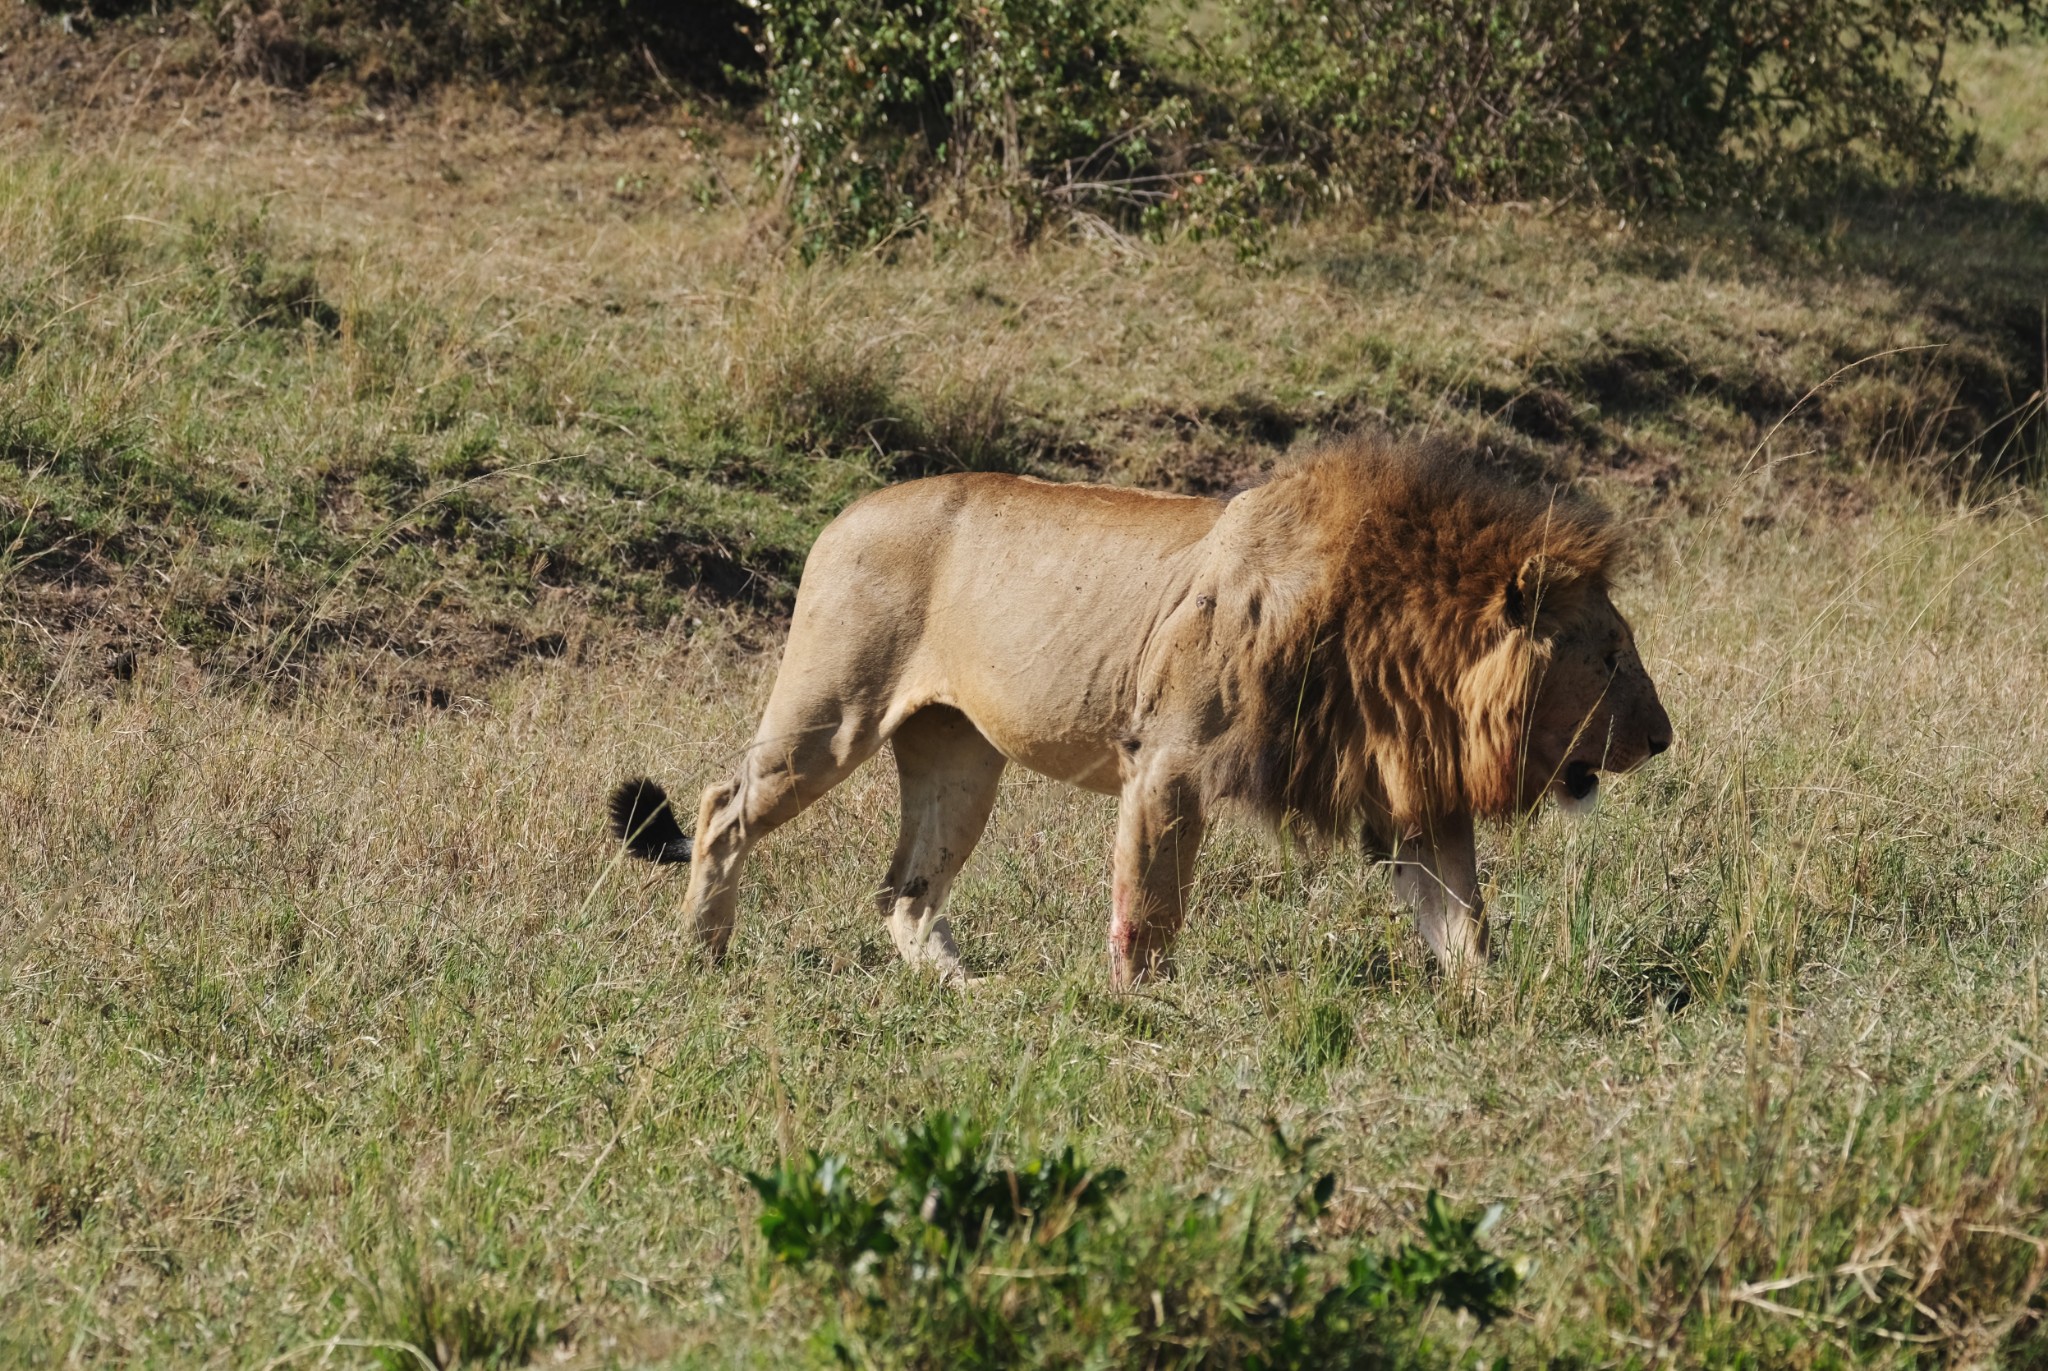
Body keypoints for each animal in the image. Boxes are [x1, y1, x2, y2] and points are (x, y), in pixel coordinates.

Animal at [606, 438, 1662, 983]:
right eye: (1610, 655)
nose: (1663, 738)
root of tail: (840, 513)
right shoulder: (1169, 762)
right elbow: (1149, 910)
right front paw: (1141, 1013)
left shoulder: (1406, 790)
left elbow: (1463, 918)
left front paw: (1495, 1010)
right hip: (833, 712)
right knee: (722, 806)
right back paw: (703, 952)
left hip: (959, 755)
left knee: (903, 891)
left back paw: (967, 990)